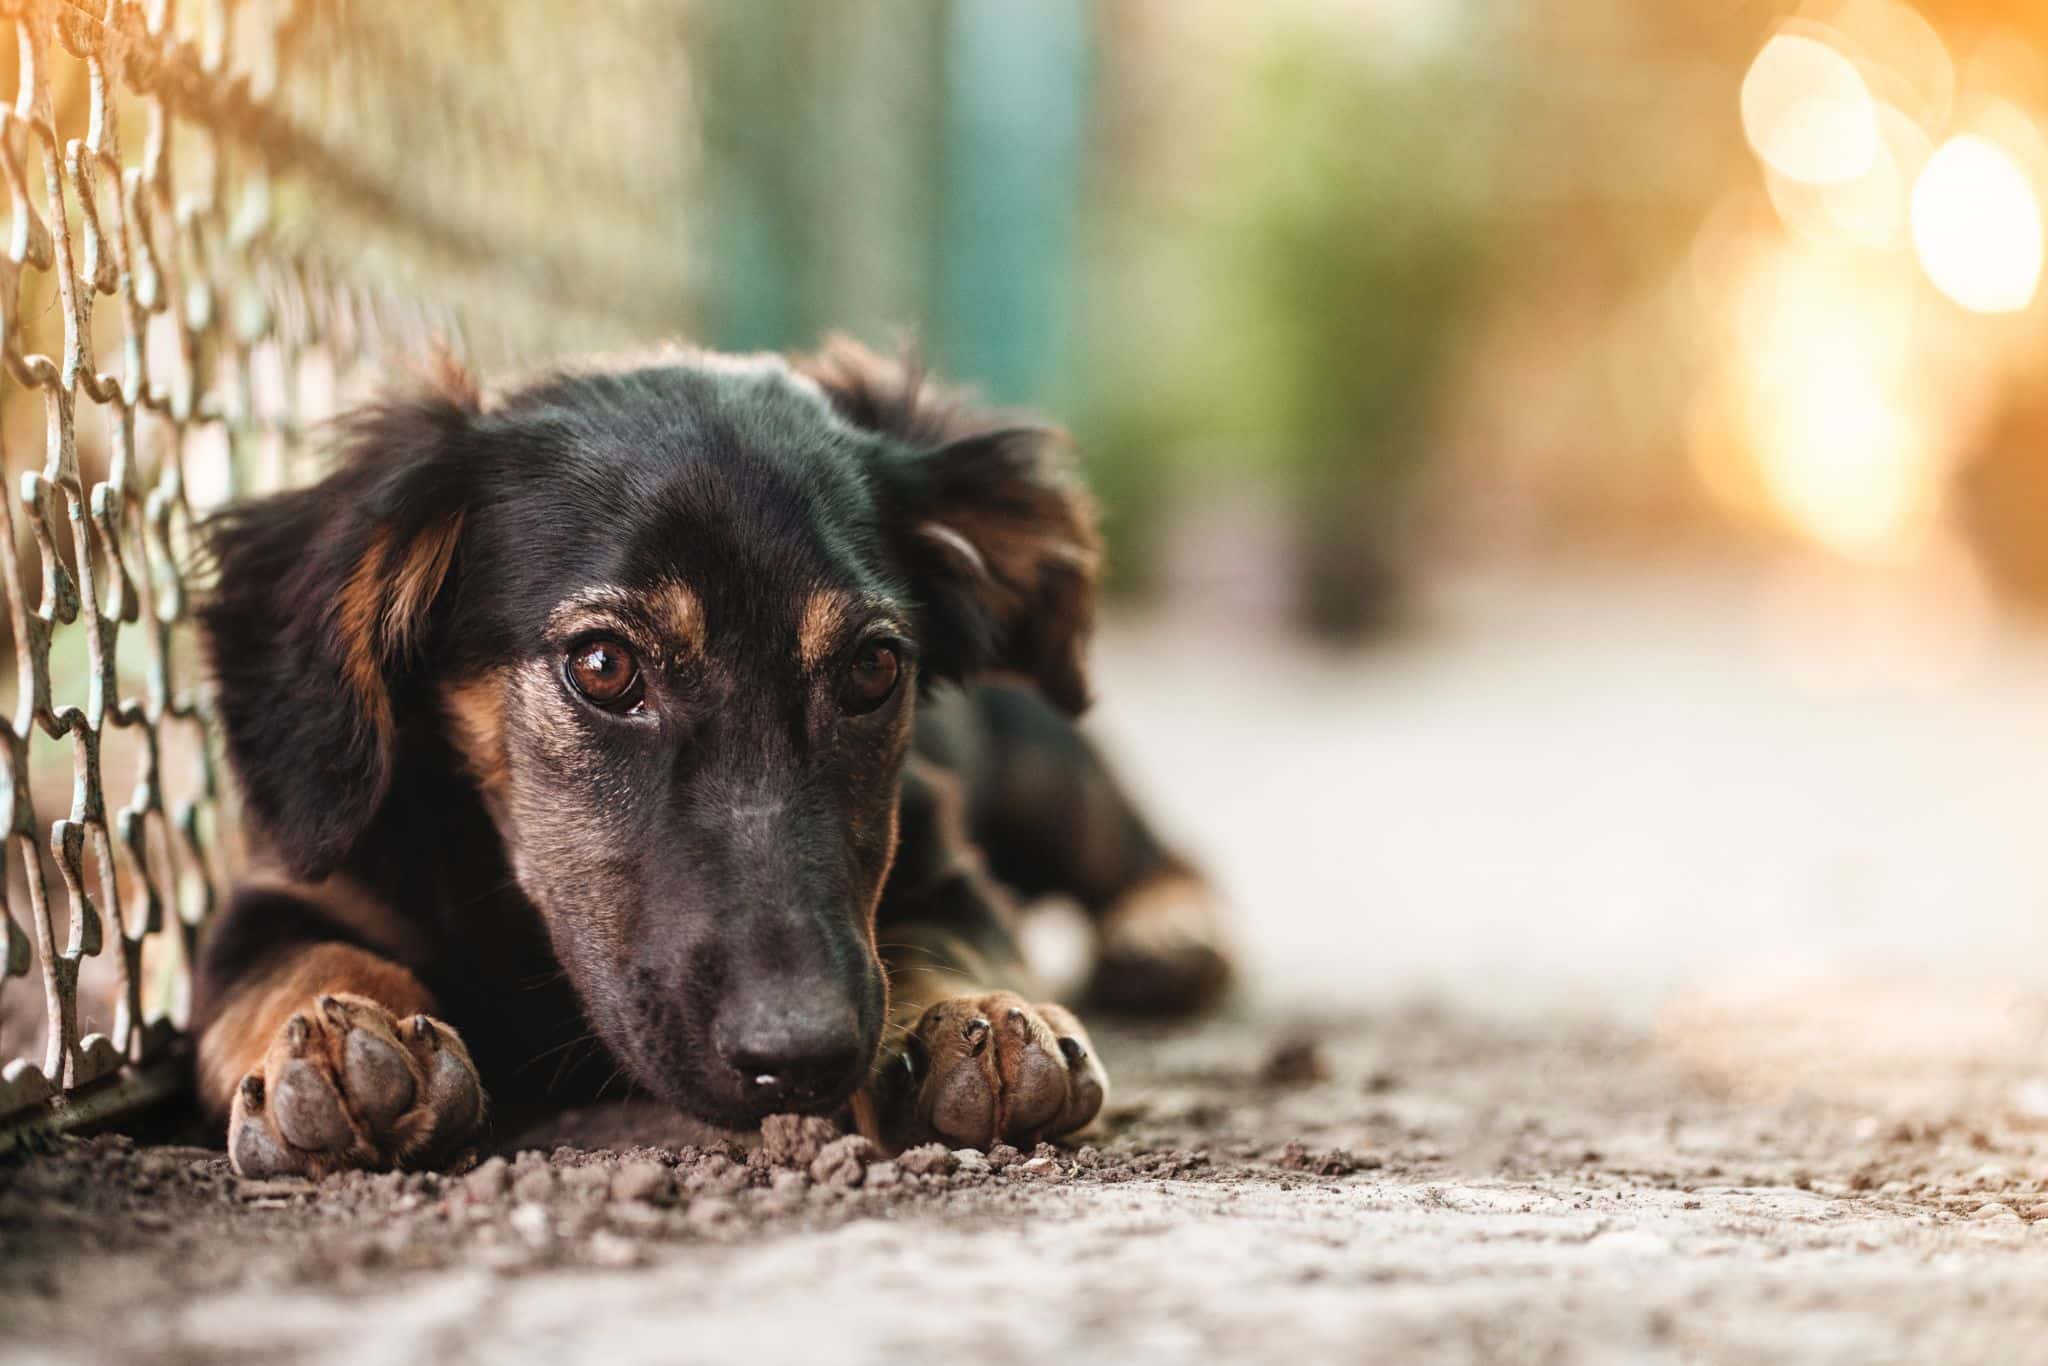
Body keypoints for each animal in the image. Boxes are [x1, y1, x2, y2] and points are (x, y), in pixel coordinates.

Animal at [192, 339, 1220, 1179]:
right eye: (603, 666)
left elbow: (948, 933)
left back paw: (1167, 933)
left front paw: (990, 1019)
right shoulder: (286, 890)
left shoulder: (938, 853)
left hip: (1048, 772)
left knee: (1144, 846)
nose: (800, 1059)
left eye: (874, 668)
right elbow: (305, 959)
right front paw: (338, 1045)